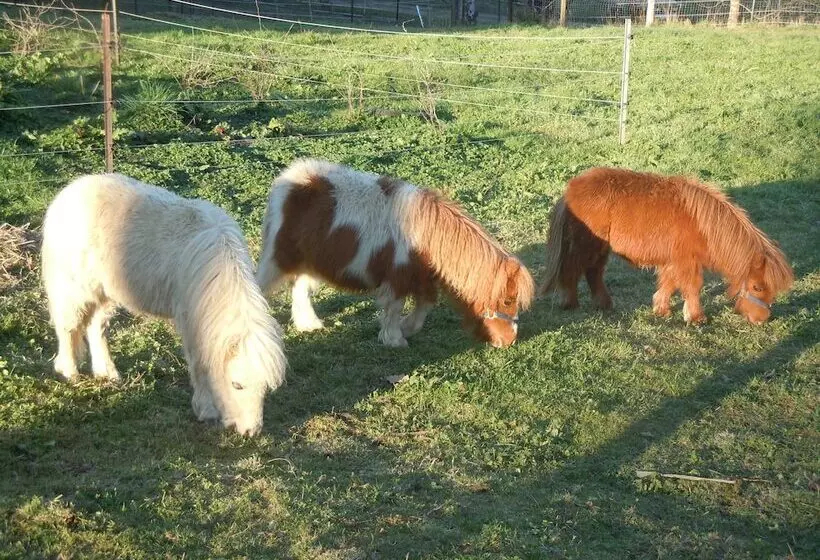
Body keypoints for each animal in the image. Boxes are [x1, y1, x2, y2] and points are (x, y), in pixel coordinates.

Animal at [41, 174, 287, 435]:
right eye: (237, 385)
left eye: (265, 388)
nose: (251, 432)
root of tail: (69, 192)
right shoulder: (191, 320)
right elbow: (199, 363)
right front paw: (206, 410)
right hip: (74, 287)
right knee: (68, 327)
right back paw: (69, 372)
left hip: (105, 291)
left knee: (96, 327)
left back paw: (107, 373)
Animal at [256, 159, 535, 348]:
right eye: (507, 301)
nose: (509, 340)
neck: (427, 234)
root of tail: (289, 177)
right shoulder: (399, 277)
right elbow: (394, 307)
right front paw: (394, 339)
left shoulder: (422, 277)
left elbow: (425, 304)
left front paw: (407, 329)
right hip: (277, 260)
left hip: (310, 263)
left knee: (300, 289)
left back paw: (309, 325)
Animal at [539, 167, 793, 325]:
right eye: (757, 287)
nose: (761, 320)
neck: (703, 224)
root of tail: (570, 189)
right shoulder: (687, 261)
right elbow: (692, 286)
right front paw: (696, 318)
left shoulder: (674, 260)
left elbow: (669, 284)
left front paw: (661, 309)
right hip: (586, 246)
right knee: (573, 271)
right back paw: (570, 304)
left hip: (599, 250)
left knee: (593, 273)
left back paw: (604, 305)